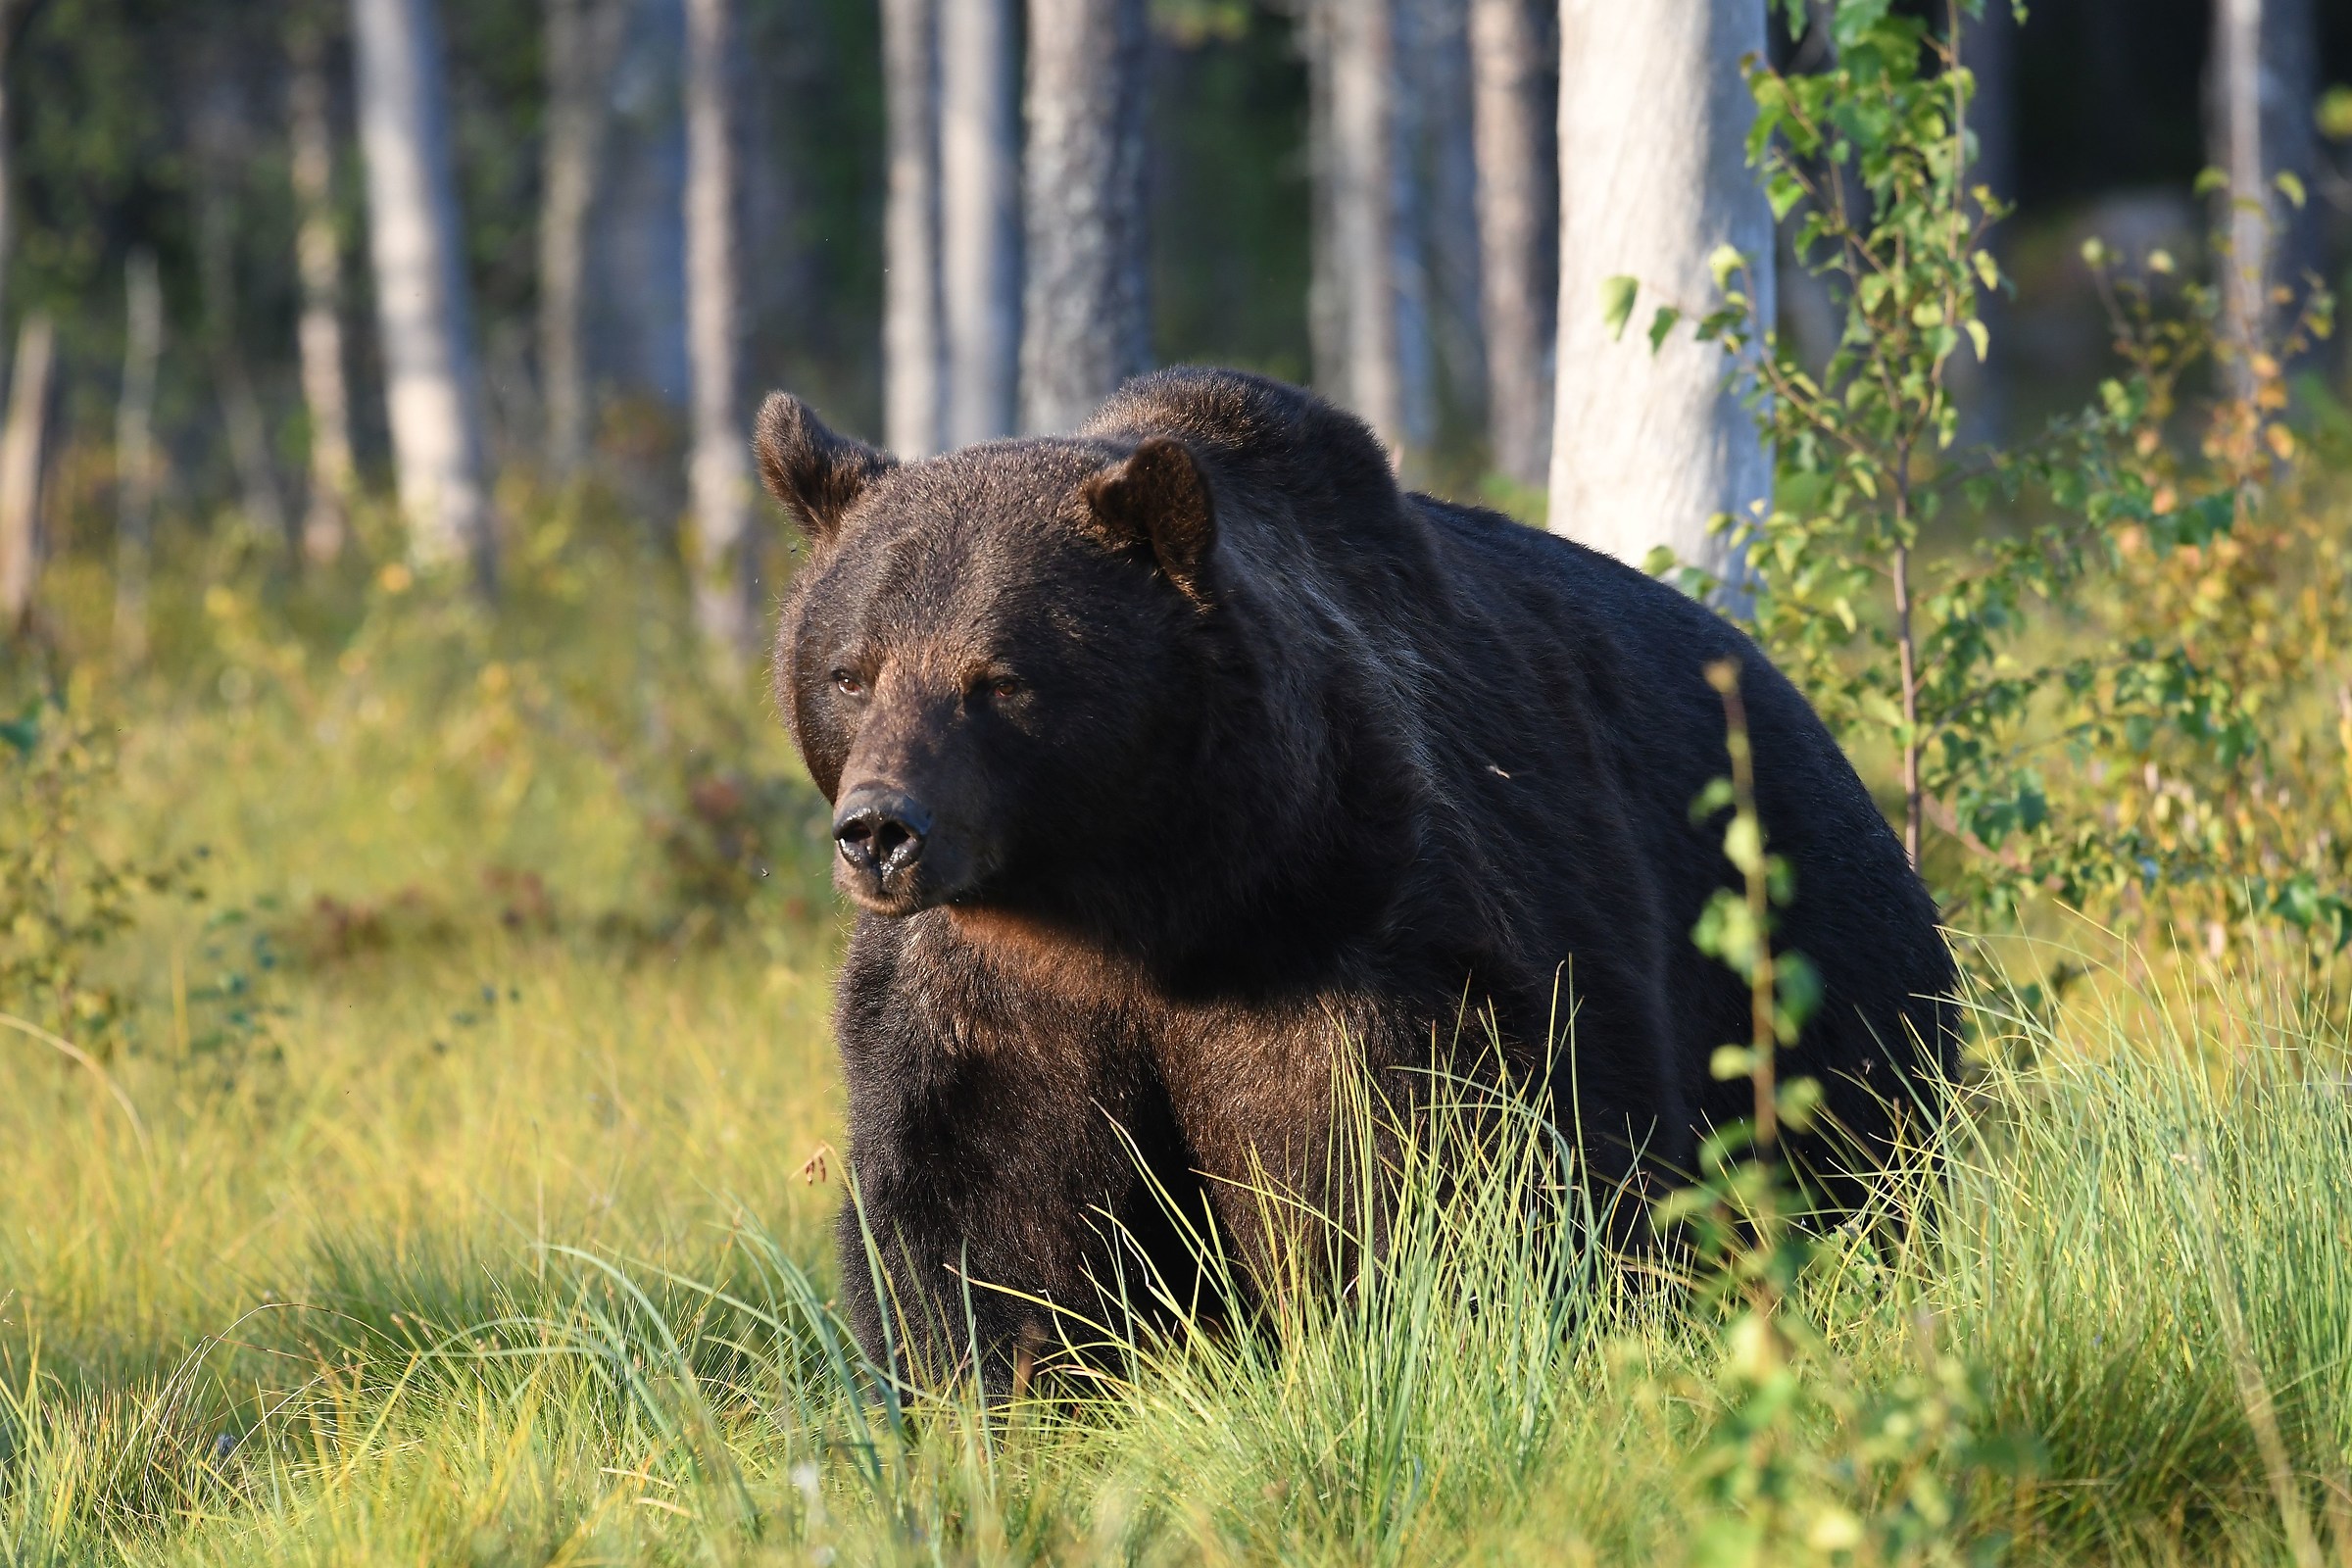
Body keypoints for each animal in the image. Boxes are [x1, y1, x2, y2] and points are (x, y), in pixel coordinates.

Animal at [754, 367, 1956, 1397]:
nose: (880, 831)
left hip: (1799, 938)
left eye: (996, 678)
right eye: (849, 670)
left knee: (1861, 1138)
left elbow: (1437, 1169)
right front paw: (1001, 1394)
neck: (1140, 900)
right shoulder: (992, 998)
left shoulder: (1362, 930)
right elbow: (974, 1219)